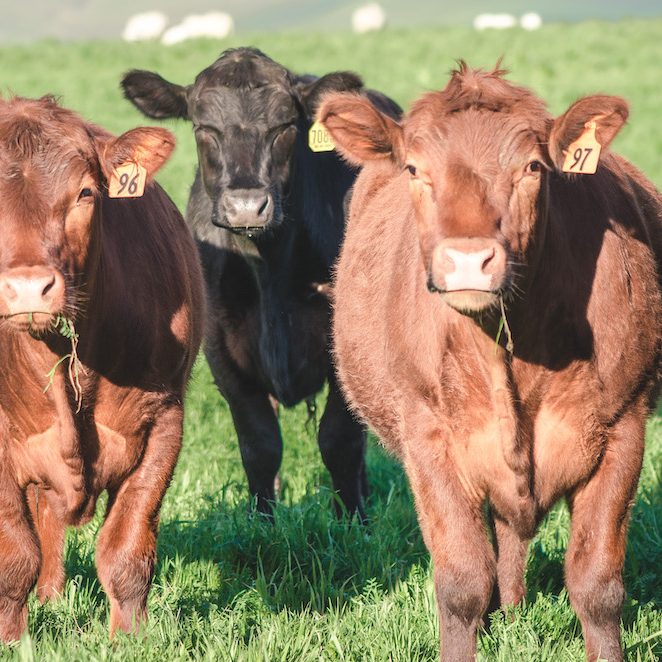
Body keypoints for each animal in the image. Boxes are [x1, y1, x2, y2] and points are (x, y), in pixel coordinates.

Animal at [0, 95, 205, 640]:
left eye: (85, 192)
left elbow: (126, 548)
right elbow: (14, 555)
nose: (27, 288)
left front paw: (130, 638)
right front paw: (13, 640)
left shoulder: (163, 421)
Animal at [121, 47, 401, 520]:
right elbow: (260, 443)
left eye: (285, 126)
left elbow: (339, 439)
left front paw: (353, 520)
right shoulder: (220, 346)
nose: (247, 206)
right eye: (203, 127)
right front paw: (262, 520)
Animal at [319, 63, 662, 661]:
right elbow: (462, 585)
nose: (467, 259)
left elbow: (596, 583)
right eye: (415, 168)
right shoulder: (427, 437)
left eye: (532, 167)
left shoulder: (625, 426)